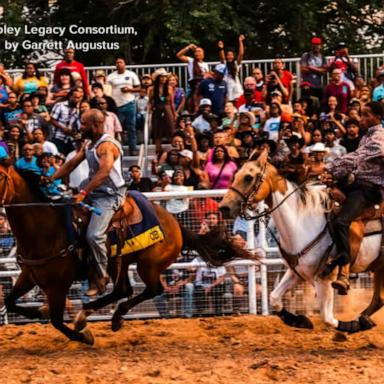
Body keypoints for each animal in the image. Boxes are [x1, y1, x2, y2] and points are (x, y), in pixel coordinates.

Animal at [0, 164, 246, 344]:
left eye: (1, 177)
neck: (47, 228)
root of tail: (175, 223)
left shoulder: (58, 285)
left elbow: (57, 320)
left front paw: (84, 336)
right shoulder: (29, 275)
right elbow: (10, 302)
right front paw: (39, 312)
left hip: (147, 264)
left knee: (152, 290)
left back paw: (103, 316)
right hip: (120, 262)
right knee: (123, 290)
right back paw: (99, 316)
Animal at [218, 149, 382, 332]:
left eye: (248, 177)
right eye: (235, 175)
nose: (224, 207)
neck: (302, 222)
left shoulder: (325, 279)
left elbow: (327, 319)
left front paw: (352, 325)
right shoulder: (295, 271)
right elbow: (274, 298)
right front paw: (299, 320)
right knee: (378, 300)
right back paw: (364, 319)